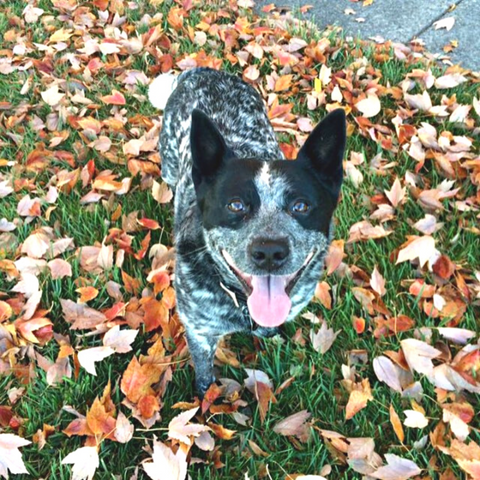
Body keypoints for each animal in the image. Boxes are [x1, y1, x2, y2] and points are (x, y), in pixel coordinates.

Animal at [150, 68, 344, 398]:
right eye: (236, 204)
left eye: (301, 205)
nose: (269, 252)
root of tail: (199, 70)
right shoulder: (199, 332)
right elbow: (205, 377)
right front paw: (206, 400)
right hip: (169, 163)